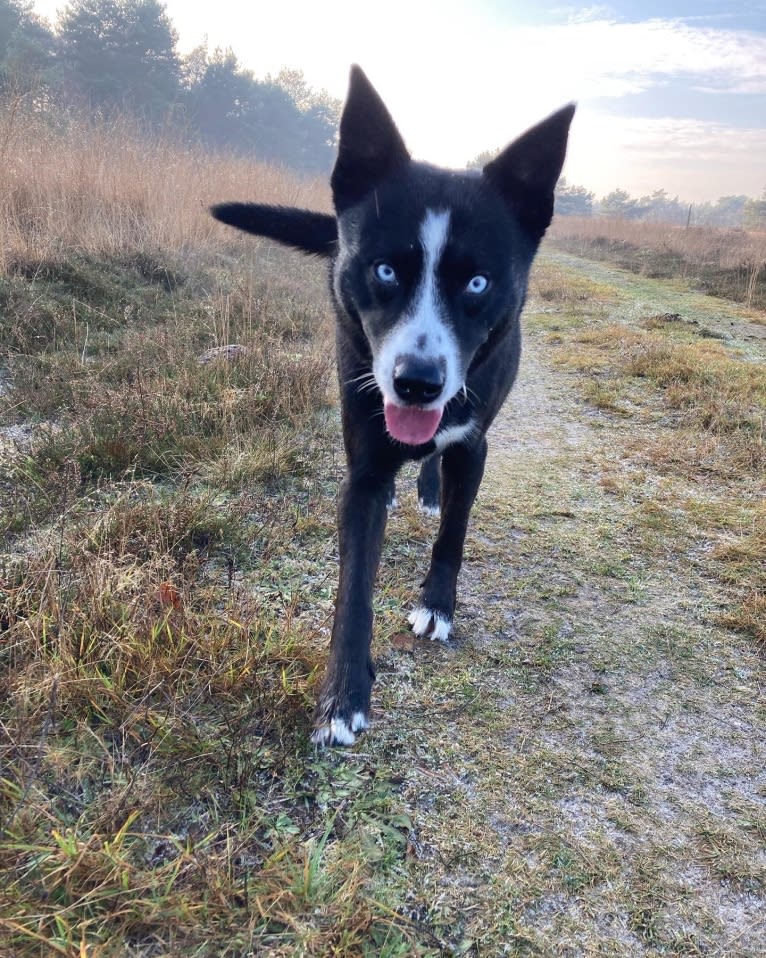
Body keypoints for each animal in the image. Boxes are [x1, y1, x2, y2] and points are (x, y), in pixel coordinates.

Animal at [213, 67, 572, 748]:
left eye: (478, 282)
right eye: (384, 270)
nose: (417, 384)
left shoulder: (474, 445)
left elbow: (455, 530)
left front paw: (437, 604)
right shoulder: (364, 471)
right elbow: (355, 585)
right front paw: (343, 696)